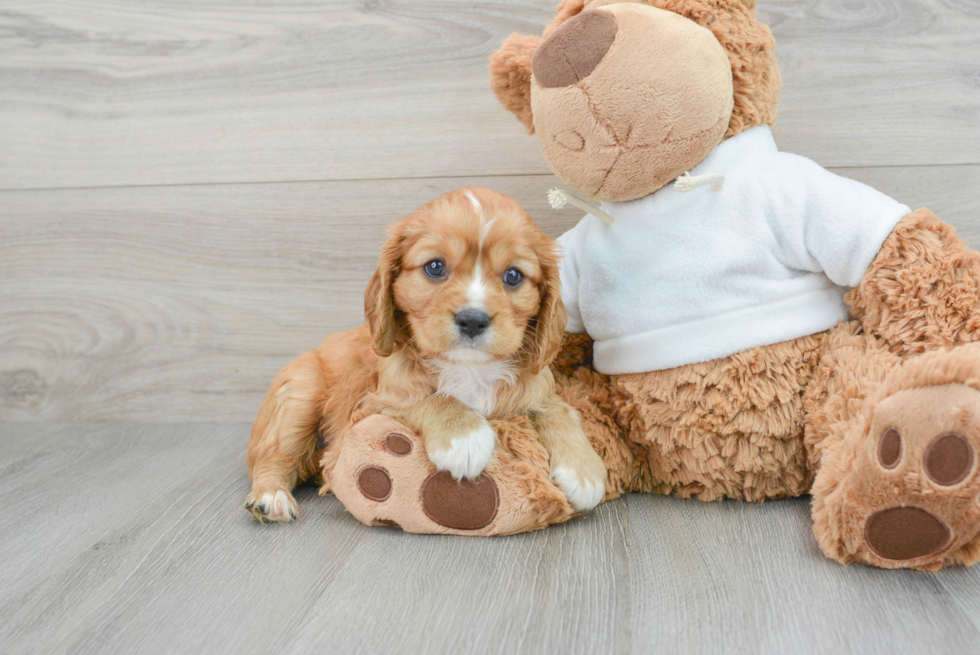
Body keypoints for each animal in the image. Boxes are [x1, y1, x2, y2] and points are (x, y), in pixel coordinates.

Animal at [247, 188, 604, 524]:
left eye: (513, 276)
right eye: (435, 267)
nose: (472, 320)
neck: (469, 368)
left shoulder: (535, 388)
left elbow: (557, 407)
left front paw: (583, 470)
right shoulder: (372, 404)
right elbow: (432, 398)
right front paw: (464, 438)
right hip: (301, 392)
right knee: (272, 457)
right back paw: (271, 496)